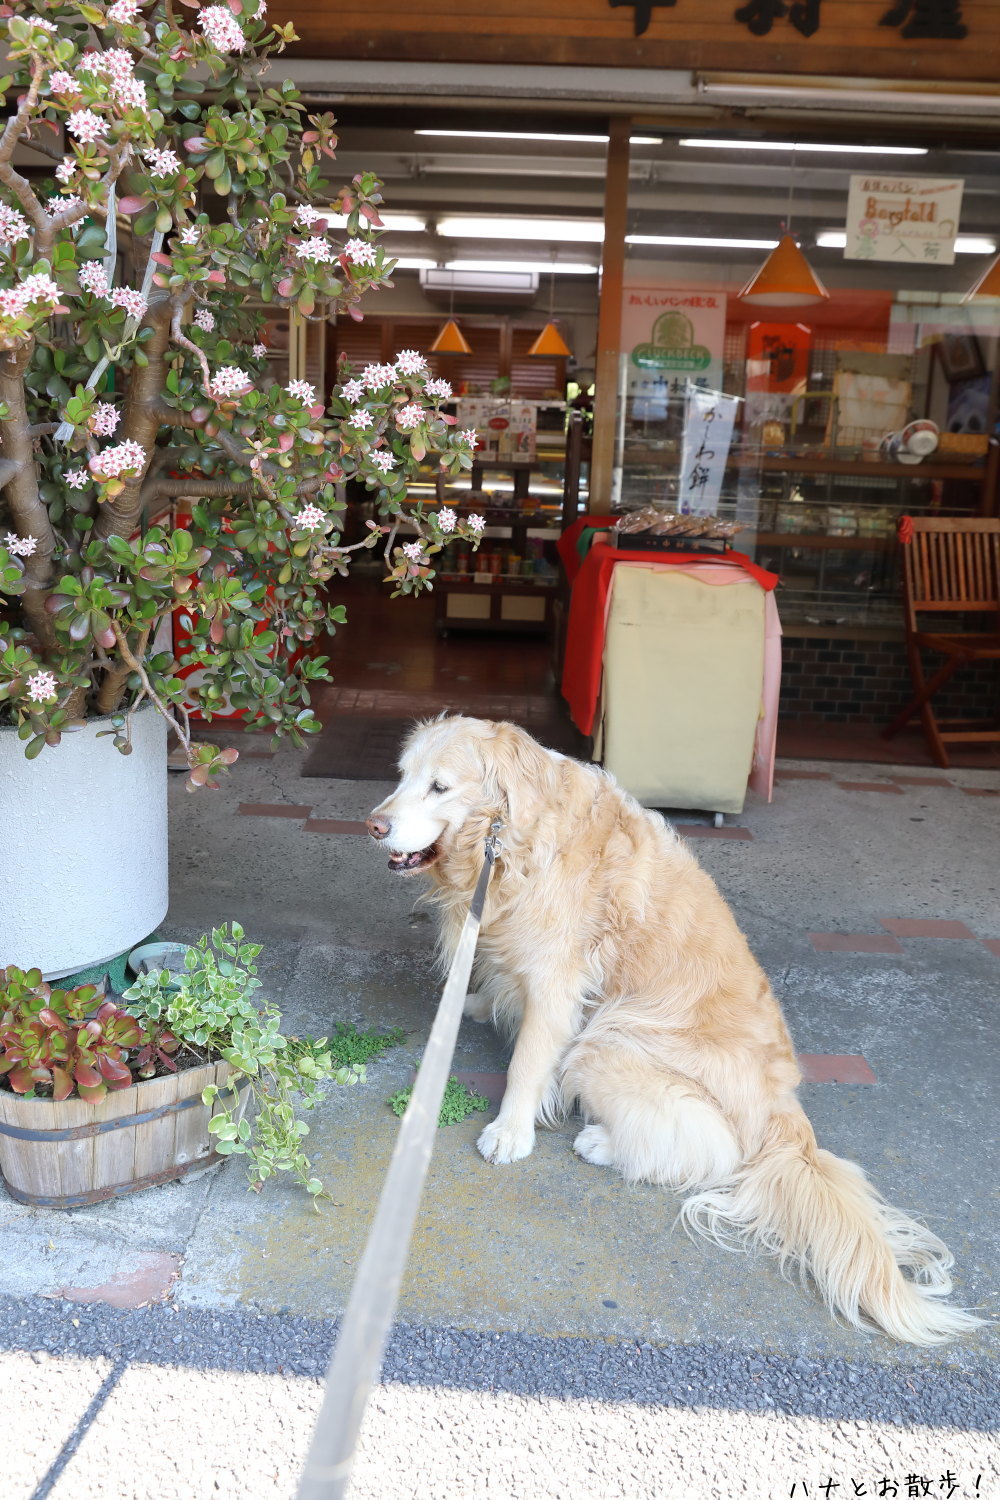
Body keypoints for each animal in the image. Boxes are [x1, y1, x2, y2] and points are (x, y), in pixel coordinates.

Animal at [367, 714, 983, 1350]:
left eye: (440, 787)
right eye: (402, 776)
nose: (374, 825)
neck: (508, 834)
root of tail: (787, 1118)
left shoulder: (558, 981)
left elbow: (528, 1063)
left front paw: (511, 1133)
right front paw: (475, 1003)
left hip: (608, 1042)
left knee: (713, 1151)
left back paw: (600, 1143)